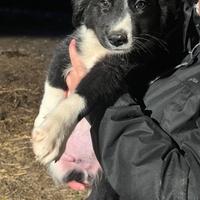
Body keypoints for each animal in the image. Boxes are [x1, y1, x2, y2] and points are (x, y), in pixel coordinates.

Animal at [31, 0, 184, 165]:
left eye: (141, 4)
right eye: (104, 3)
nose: (117, 39)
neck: (99, 49)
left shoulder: (114, 69)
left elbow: (85, 92)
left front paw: (51, 134)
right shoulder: (69, 46)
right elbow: (54, 84)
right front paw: (42, 118)